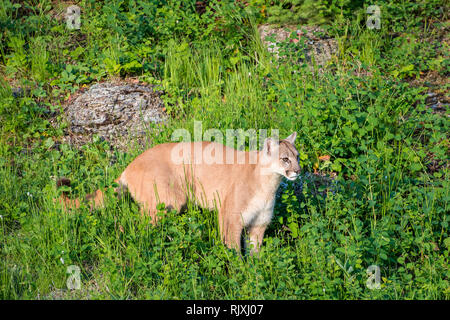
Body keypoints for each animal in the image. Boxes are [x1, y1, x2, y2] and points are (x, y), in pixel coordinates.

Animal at [58, 131, 300, 254]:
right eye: (285, 159)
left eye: (297, 156)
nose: (298, 170)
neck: (269, 183)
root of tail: (131, 164)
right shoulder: (230, 219)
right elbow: (233, 250)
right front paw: (239, 273)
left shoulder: (258, 225)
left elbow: (254, 253)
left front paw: (255, 274)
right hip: (167, 202)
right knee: (133, 226)